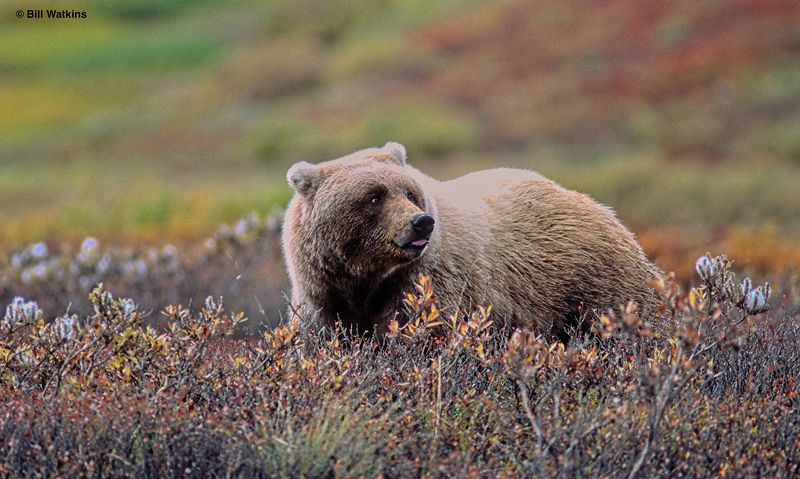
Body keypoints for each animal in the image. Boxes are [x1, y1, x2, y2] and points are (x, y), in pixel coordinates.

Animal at [282, 142, 663, 340]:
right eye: (374, 196)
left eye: (409, 192)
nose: (421, 223)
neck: (366, 278)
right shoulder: (322, 296)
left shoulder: (429, 285)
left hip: (592, 281)